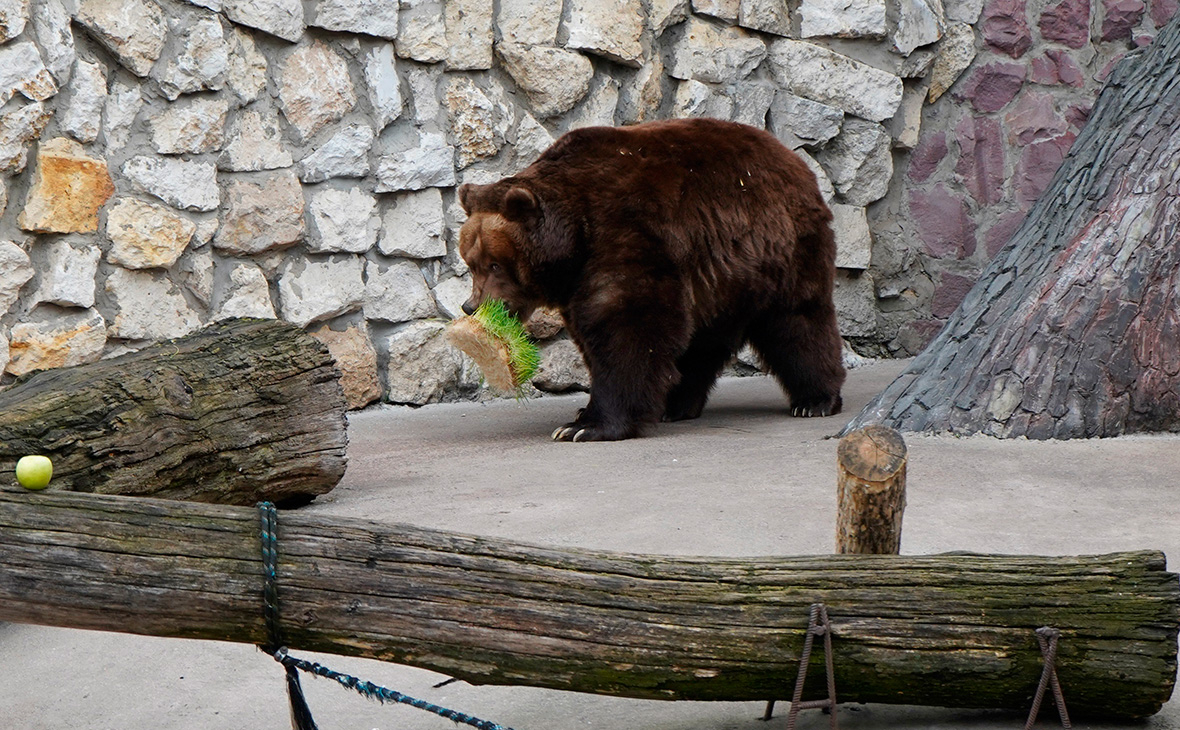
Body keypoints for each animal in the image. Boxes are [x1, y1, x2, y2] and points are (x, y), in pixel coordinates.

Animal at [455, 117, 844, 443]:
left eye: (495, 264)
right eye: (471, 262)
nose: (471, 306)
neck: (574, 236)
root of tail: (794, 159)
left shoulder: (626, 231)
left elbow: (627, 326)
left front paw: (584, 426)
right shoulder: (579, 276)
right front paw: (582, 413)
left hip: (781, 247)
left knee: (796, 321)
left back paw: (815, 400)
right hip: (721, 275)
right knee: (702, 340)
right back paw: (676, 404)